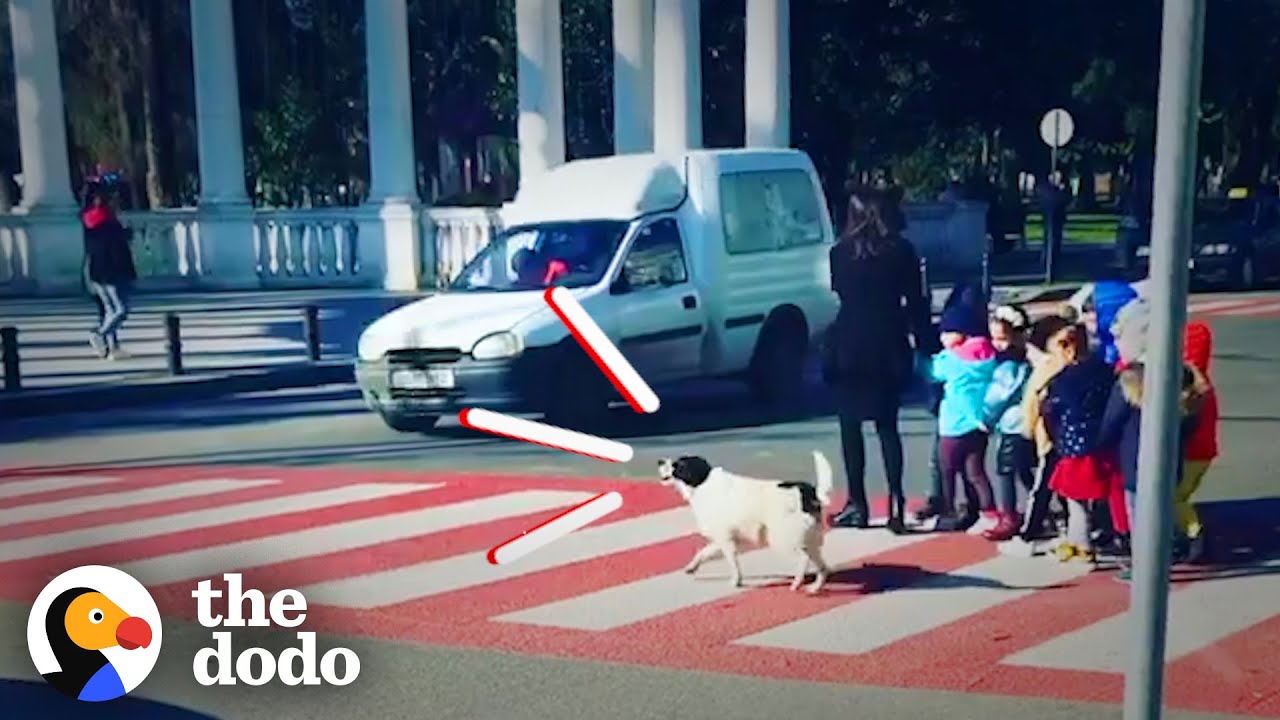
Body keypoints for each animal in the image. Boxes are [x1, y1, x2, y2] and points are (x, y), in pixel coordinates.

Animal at [655, 448, 834, 594]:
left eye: (677, 465)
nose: (659, 460)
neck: (702, 483)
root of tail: (810, 494)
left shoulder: (726, 541)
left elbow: (733, 564)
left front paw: (736, 581)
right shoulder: (721, 538)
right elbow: (703, 552)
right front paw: (691, 567)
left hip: (783, 538)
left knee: (803, 560)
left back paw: (797, 583)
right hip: (807, 540)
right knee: (822, 567)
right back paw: (814, 587)